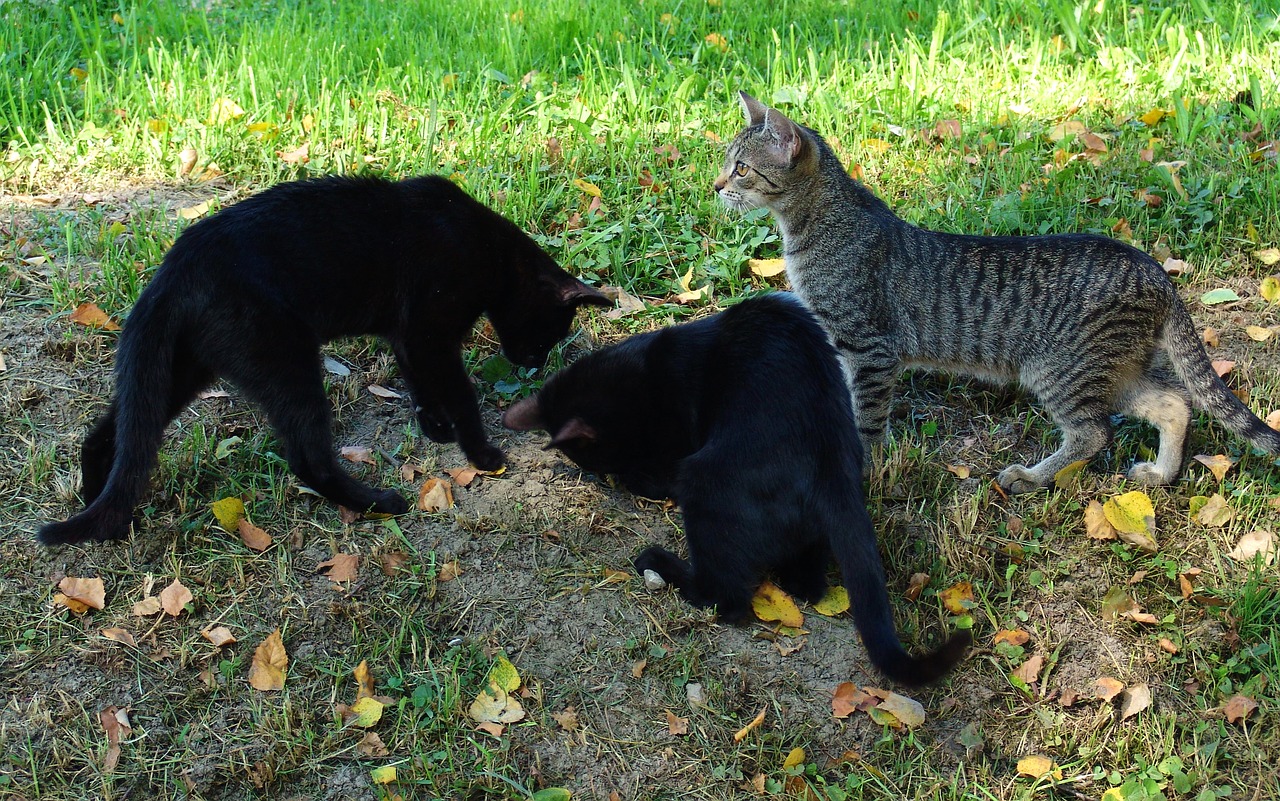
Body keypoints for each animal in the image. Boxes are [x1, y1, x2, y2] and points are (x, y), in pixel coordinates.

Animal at [35, 175, 604, 545]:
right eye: (551, 333)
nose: (533, 364)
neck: (490, 251)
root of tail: (173, 269)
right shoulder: (430, 330)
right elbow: (458, 393)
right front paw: (482, 453)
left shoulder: (408, 335)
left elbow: (419, 382)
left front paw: (435, 427)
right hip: (286, 361)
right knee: (308, 459)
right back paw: (379, 503)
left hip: (181, 369)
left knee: (110, 434)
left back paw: (105, 514)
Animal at [499, 296, 967, 680]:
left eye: (612, 460)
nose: (628, 482)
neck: (639, 376)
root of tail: (831, 463)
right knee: (806, 583)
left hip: (703, 483)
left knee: (726, 598)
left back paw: (659, 565)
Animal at [721, 90, 1280, 488]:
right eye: (727, 163)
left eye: (742, 168)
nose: (715, 185)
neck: (813, 225)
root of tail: (1152, 268)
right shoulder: (842, 346)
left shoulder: (869, 347)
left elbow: (869, 419)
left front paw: (861, 467)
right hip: (1115, 369)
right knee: (1174, 403)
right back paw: (1161, 475)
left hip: (1060, 369)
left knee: (1093, 432)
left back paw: (1031, 477)